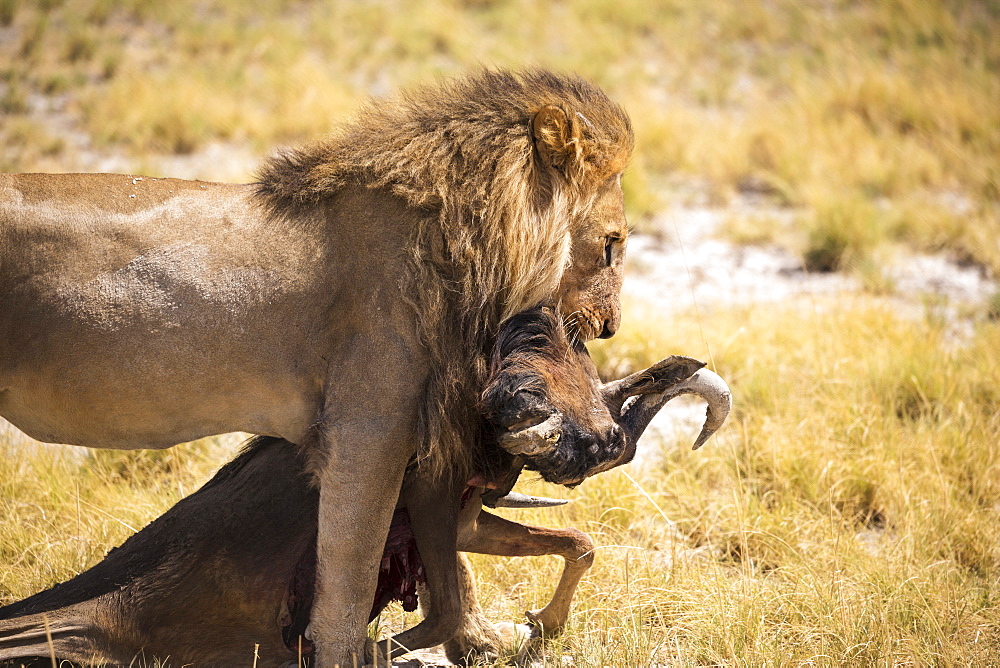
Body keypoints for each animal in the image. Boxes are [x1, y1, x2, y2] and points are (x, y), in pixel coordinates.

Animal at [0, 66, 632, 664]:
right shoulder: (367, 431)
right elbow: (350, 583)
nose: (609, 327)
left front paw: (483, 642)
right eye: (612, 243)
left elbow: (445, 557)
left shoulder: (424, 447)